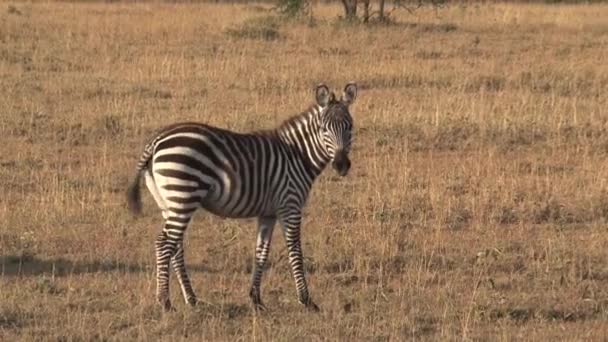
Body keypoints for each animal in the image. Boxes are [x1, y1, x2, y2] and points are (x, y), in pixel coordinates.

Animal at [127, 83, 356, 312]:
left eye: (350, 127)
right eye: (324, 129)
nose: (341, 165)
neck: (297, 155)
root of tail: (156, 140)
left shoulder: (268, 213)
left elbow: (261, 253)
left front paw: (256, 299)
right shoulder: (290, 205)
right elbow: (295, 252)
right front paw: (306, 300)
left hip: (169, 201)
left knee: (176, 246)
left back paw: (191, 298)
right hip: (183, 195)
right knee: (164, 244)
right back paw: (164, 301)